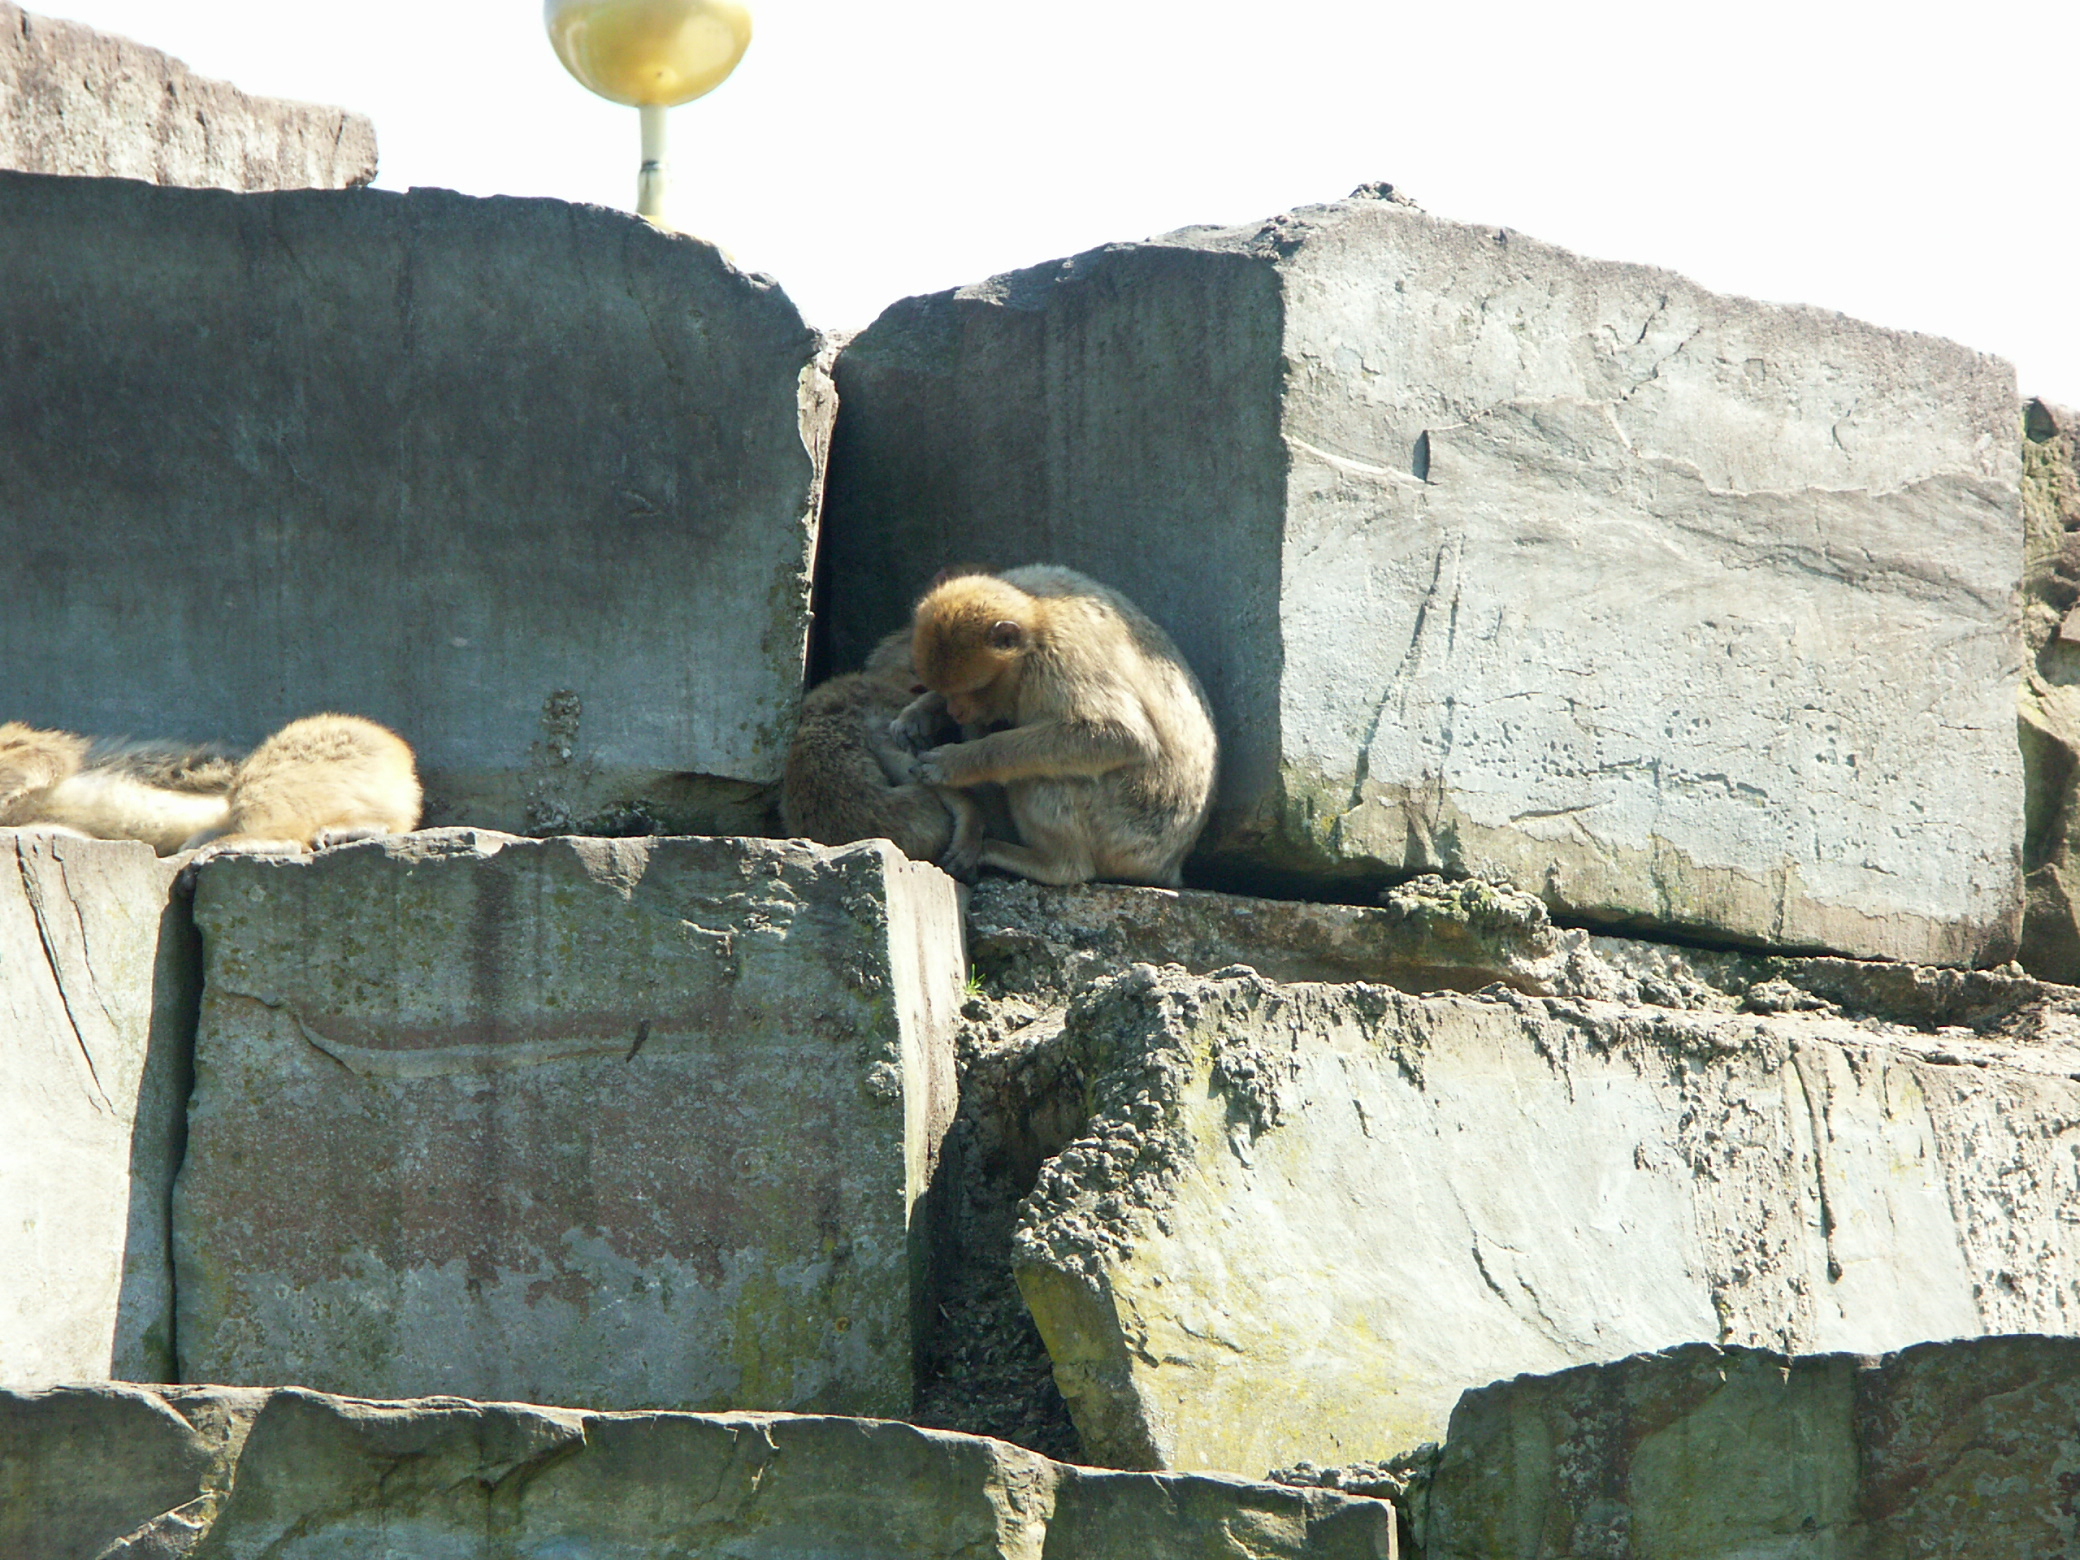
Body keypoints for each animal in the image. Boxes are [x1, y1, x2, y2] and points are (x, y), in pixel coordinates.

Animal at [892, 564, 1218, 888]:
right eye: (946, 691)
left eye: (976, 689)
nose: (955, 710)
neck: (1035, 616)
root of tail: (1169, 865)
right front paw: (919, 714)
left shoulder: (1061, 658)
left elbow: (1120, 736)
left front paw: (956, 762)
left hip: (1127, 828)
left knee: (1045, 774)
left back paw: (1055, 864)